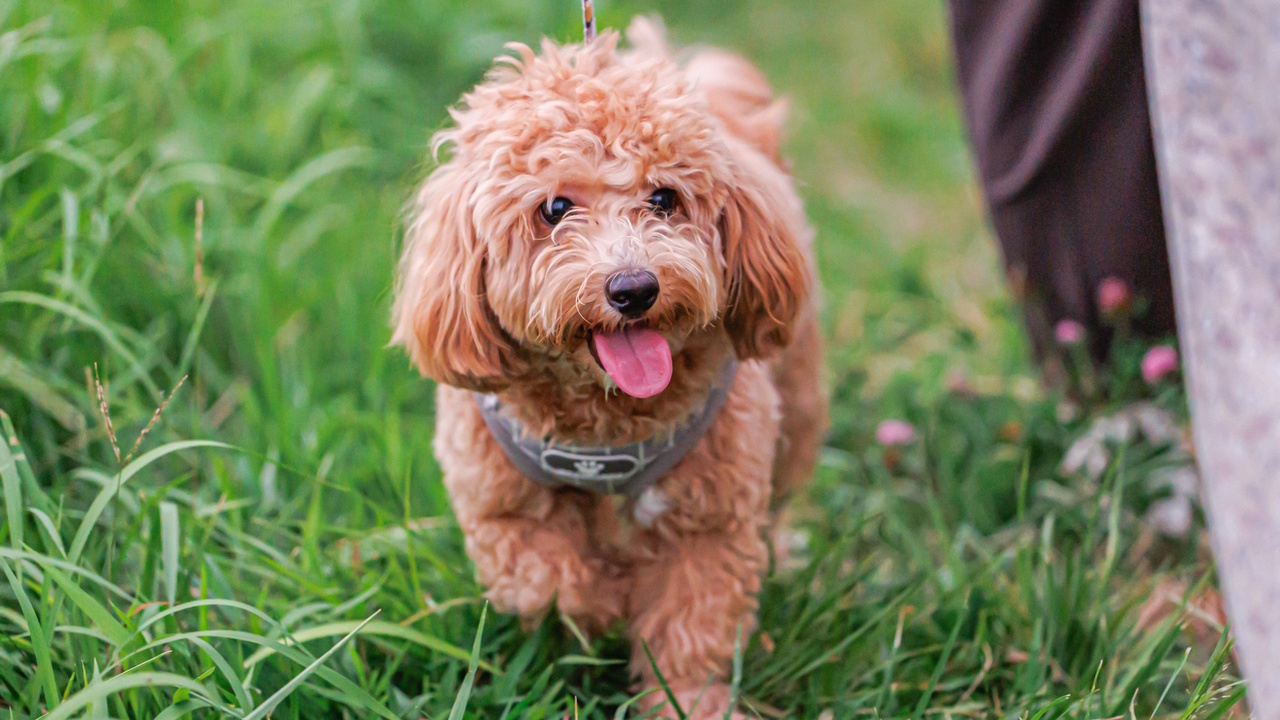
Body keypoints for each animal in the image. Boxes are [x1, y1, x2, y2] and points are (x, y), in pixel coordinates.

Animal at [391, 18, 829, 717]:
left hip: (797, 407)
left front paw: (691, 702)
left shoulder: (710, 522)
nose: (634, 288)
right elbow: (547, 577)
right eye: (554, 208)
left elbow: (692, 629)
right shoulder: (498, 508)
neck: (607, 424)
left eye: (665, 198)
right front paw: (601, 606)